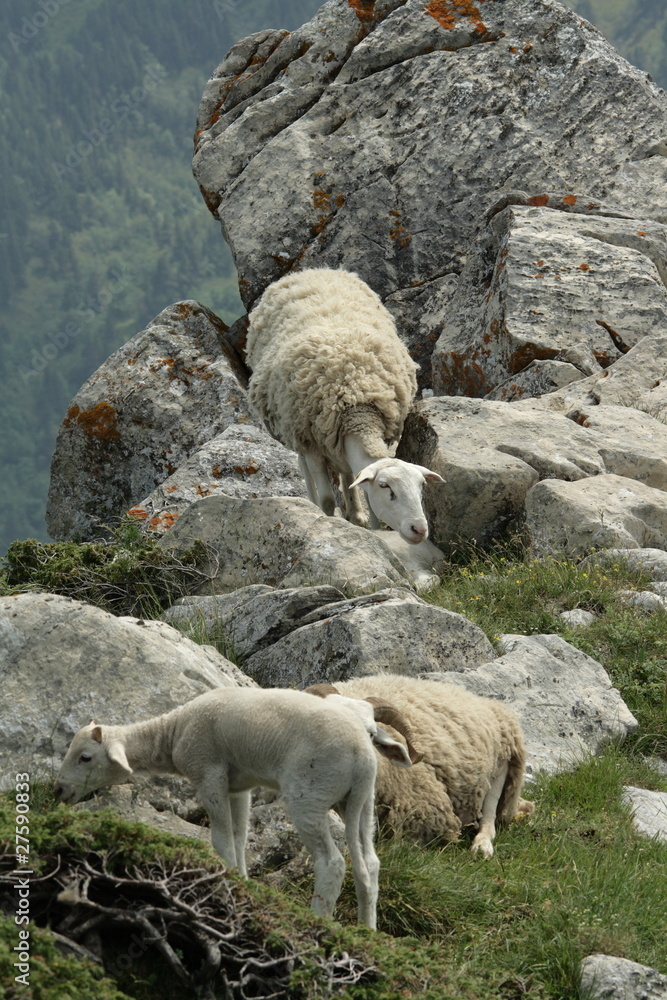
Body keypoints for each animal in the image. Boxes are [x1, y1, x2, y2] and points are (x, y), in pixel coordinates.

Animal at [54, 686, 415, 928]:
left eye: (85, 757)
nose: (59, 790)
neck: (173, 732)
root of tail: (362, 754)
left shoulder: (209, 772)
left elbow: (222, 840)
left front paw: (226, 885)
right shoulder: (238, 786)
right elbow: (241, 838)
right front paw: (242, 882)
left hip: (309, 794)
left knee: (332, 862)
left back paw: (318, 921)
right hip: (359, 802)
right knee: (370, 864)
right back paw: (367, 930)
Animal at [246, 268, 444, 544]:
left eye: (421, 486)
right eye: (386, 487)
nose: (420, 530)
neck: (356, 406)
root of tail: (311, 270)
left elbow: (362, 489)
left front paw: (369, 525)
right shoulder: (313, 445)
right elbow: (328, 500)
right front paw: (328, 519)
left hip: (332, 438)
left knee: (347, 472)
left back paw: (355, 513)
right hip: (293, 427)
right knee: (304, 467)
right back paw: (314, 503)